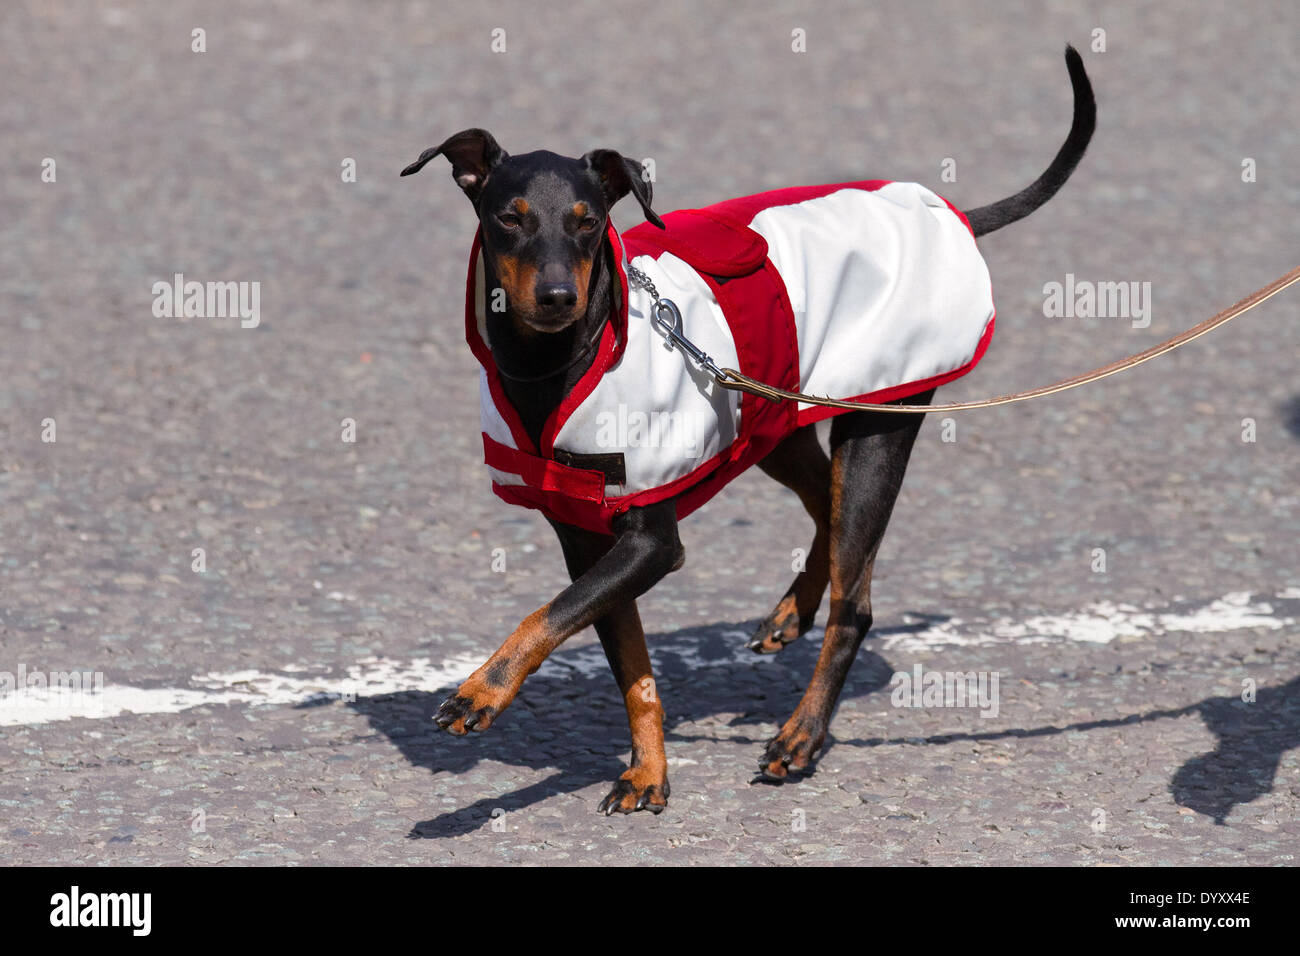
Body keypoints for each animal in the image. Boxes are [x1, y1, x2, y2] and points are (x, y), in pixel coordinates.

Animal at [400, 46, 1092, 816]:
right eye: (510, 219)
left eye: (586, 221)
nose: (557, 298)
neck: (554, 368)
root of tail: (952, 217)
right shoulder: (588, 538)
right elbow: (629, 666)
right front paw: (649, 770)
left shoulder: (650, 543)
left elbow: (545, 616)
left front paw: (480, 692)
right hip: (774, 420)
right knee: (825, 510)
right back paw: (792, 611)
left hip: (874, 431)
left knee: (855, 601)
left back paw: (802, 734)